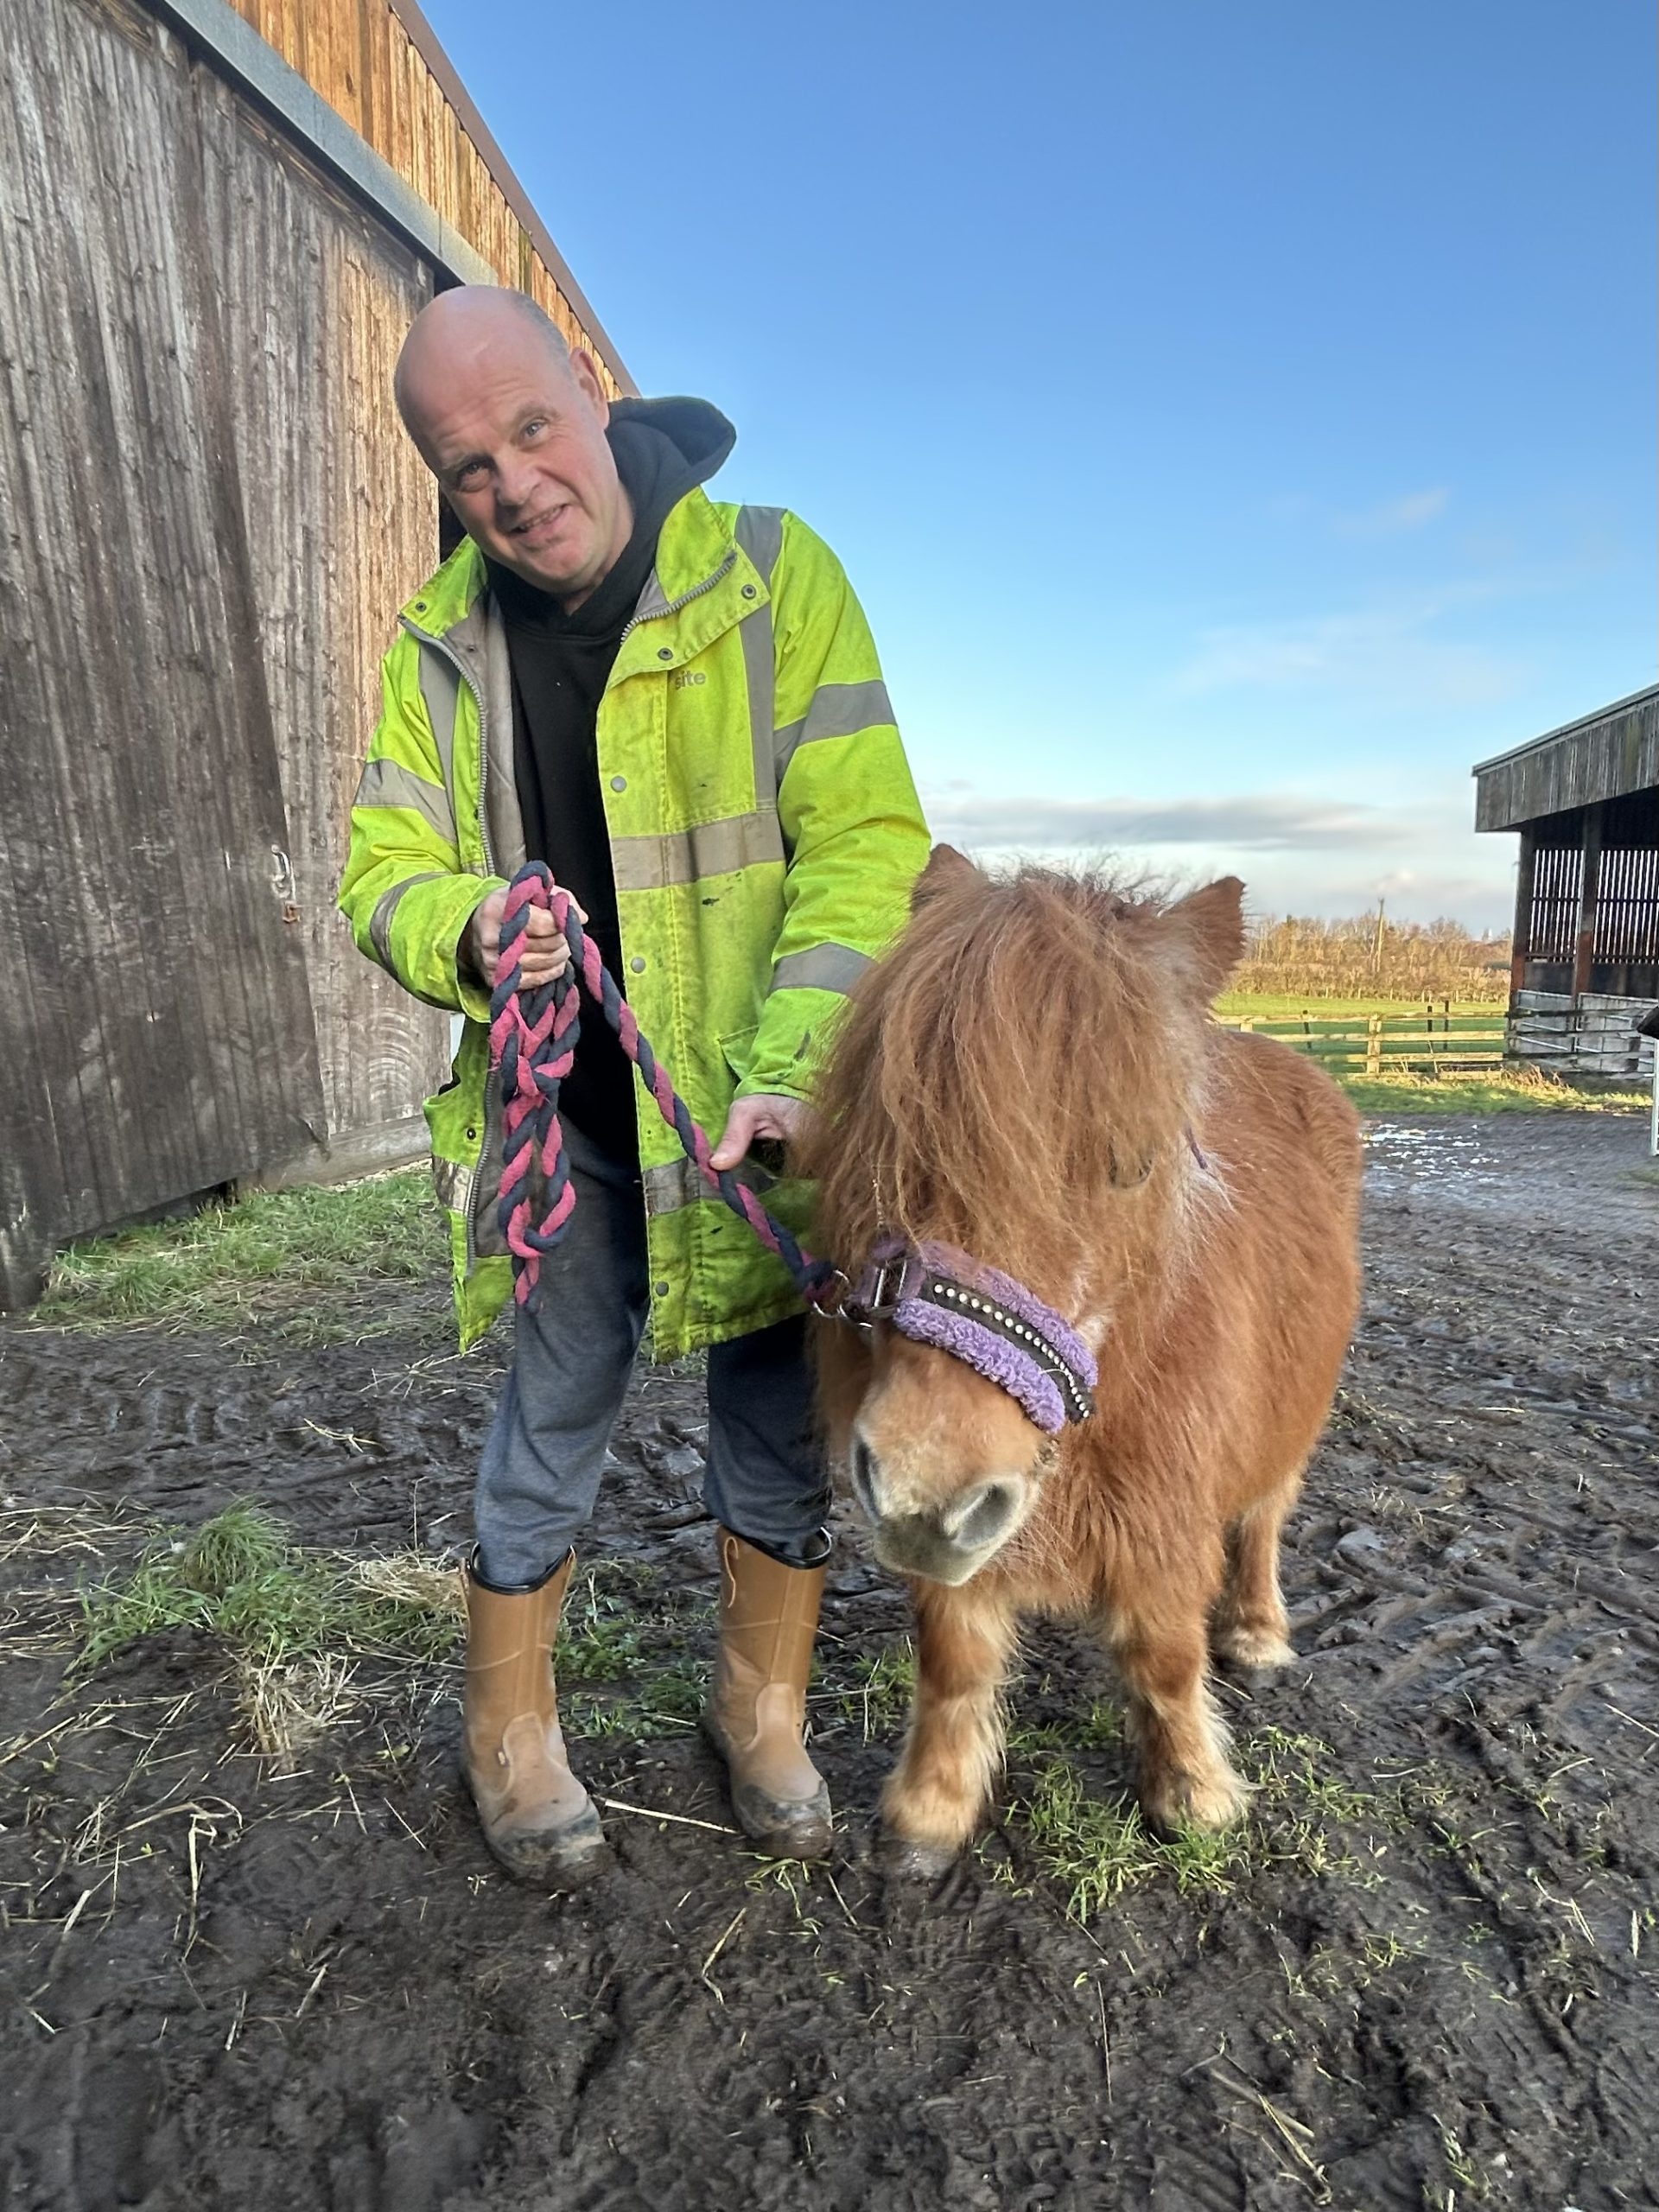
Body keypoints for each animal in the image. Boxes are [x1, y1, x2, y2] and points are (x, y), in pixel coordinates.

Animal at [800, 846, 1363, 1873]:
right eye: (887, 1137)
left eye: (1131, 1164)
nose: (926, 1493)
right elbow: (952, 1657)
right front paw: (929, 1812)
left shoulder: (1165, 1512)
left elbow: (1167, 1654)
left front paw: (1193, 1794)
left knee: (1267, 1514)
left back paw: (1259, 1632)